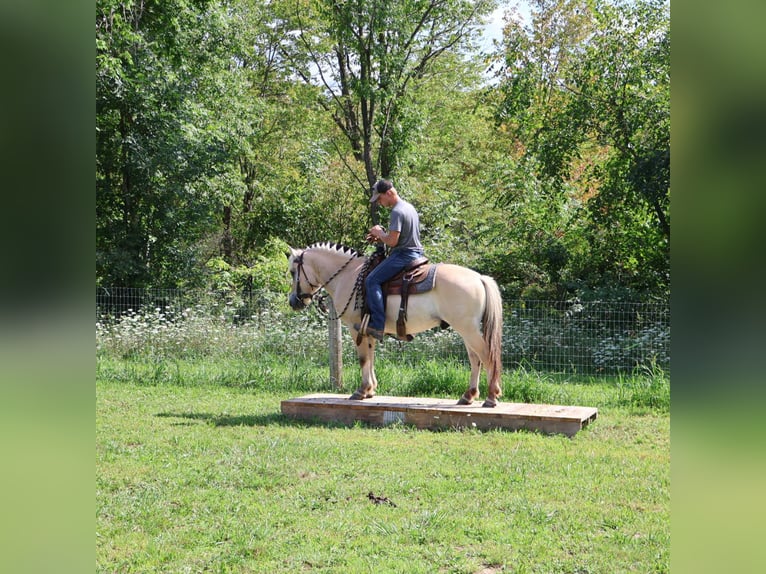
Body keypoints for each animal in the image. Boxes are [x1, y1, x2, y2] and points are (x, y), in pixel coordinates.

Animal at [287, 242, 503, 407]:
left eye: (292, 272)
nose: (293, 301)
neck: (348, 276)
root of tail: (479, 278)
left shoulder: (355, 328)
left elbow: (363, 359)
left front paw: (361, 391)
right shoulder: (369, 329)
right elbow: (371, 357)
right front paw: (371, 390)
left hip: (468, 330)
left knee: (486, 356)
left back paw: (491, 397)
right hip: (467, 330)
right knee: (475, 359)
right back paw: (468, 395)